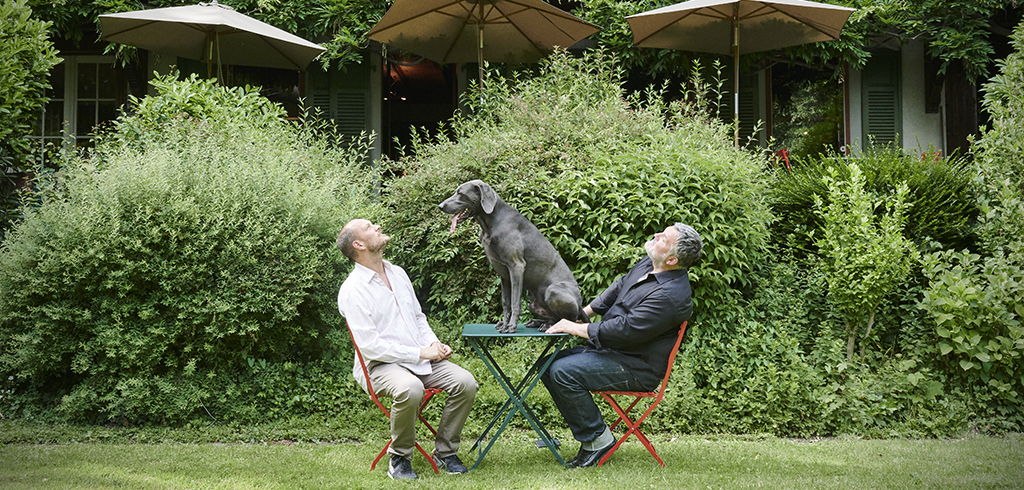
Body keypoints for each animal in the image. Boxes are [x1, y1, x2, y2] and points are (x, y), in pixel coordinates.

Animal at [436, 180, 589, 333]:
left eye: (460, 193)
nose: (440, 206)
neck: (491, 223)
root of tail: (580, 305)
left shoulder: (516, 266)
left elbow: (515, 301)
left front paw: (511, 326)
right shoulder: (503, 273)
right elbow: (505, 302)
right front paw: (504, 323)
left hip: (553, 291)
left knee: (570, 320)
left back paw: (549, 325)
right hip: (531, 300)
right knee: (553, 317)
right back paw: (538, 322)